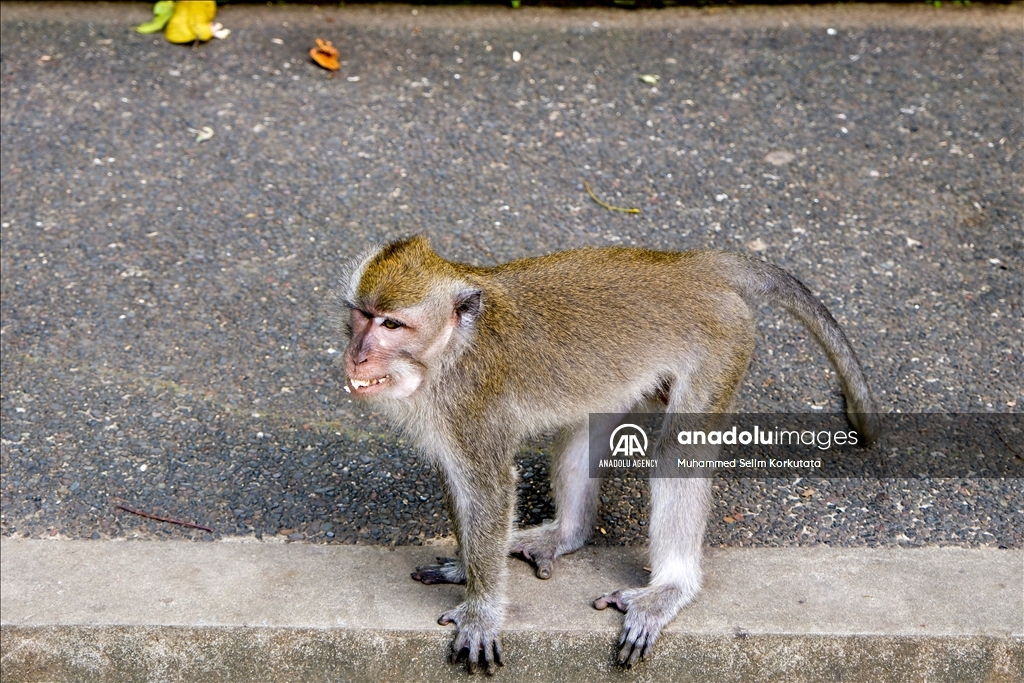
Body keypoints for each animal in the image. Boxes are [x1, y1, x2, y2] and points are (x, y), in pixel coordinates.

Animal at [337, 235, 880, 671]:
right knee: (583, 429)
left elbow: (488, 490)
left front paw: (482, 612)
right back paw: (566, 534)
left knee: (675, 452)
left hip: (722, 344)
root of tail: (688, 265)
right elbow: (460, 484)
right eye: (361, 316)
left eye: (392, 324)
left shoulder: (471, 406)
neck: (452, 349)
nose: (356, 355)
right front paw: (466, 568)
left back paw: (670, 588)